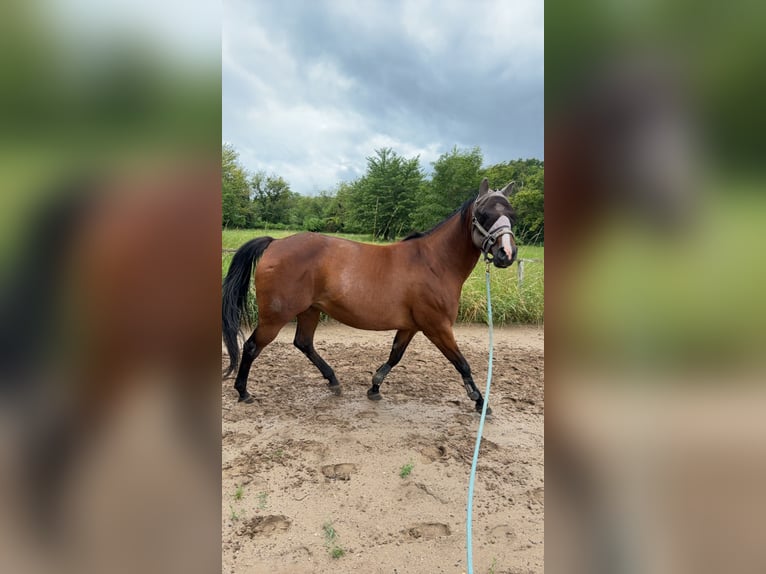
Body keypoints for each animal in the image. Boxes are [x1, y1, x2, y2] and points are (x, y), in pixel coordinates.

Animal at [222, 177, 518, 413]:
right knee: (252, 347)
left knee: (303, 343)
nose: (507, 254)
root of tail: (275, 243)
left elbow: (395, 355)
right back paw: (243, 392)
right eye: (484, 213)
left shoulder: (411, 326)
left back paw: (334, 381)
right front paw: (480, 402)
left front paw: (374, 388)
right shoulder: (437, 327)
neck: (434, 263)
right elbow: (462, 363)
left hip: (309, 310)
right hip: (275, 316)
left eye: (512, 215)